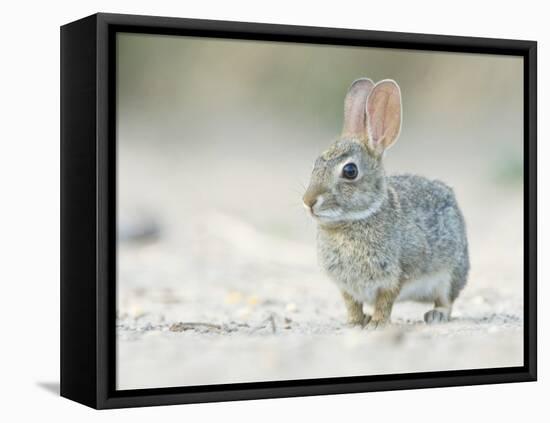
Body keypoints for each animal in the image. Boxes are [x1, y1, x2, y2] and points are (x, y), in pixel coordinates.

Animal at [304, 80, 472, 332]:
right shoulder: (346, 287)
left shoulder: (394, 276)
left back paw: (436, 315)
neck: (356, 219)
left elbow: (385, 301)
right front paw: (354, 323)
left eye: (350, 171)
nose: (308, 201)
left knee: (447, 300)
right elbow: (352, 305)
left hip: (450, 273)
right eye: (316, 164)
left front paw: (377, 324)